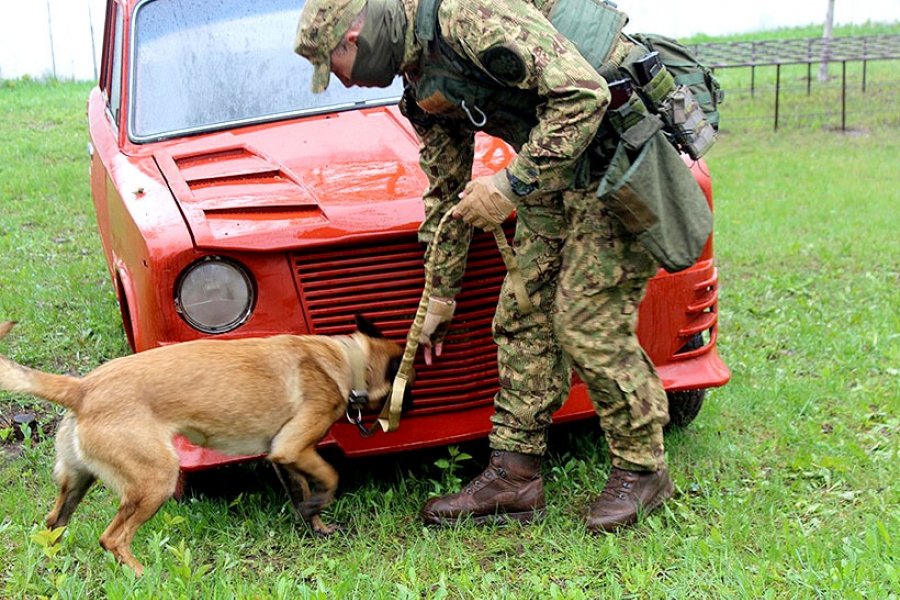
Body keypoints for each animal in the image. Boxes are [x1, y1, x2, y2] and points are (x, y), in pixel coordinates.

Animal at [0, 316, 408, 576]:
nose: (413, 404)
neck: (346, 359)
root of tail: (82, 388)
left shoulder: (281, 453)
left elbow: (302, 491)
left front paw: (316, 525)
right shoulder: (294, 447)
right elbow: (330, 476)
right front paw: (319, 508)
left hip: (77, 481)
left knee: (53, 524)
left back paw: (53, 565)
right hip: (156, 481)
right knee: (111, 538)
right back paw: (144, 575)